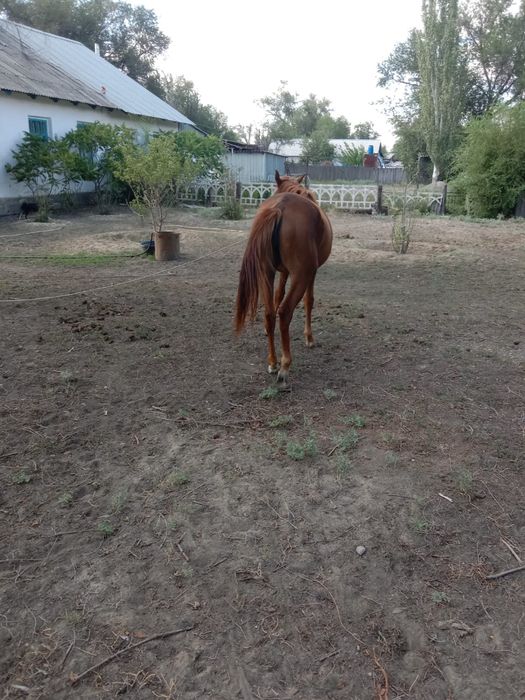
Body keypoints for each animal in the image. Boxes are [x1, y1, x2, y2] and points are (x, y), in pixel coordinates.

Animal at [235, 170, 333, 389]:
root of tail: (279, 209)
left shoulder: (282, 272)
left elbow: (278, 294)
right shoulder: (310, 273)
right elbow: (309, 301)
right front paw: (309, 337)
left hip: (266, 271)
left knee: (270, 313)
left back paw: (272, 362)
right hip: (300, 276)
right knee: (285, 312)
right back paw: (285, 366)